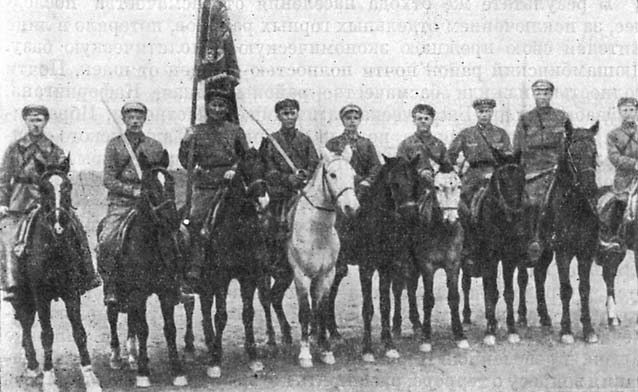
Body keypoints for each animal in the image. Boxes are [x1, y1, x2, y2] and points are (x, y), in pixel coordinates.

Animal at [4, 156, 102, 392]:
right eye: (44, 188)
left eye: (67, 186)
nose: (59, 223)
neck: (55, 246)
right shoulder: (41, 296)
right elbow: (46, 334)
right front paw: (49, 379)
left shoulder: (71, 293)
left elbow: (79, 332)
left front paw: (90, 377)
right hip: (22, 297)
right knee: (26, 324)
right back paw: (32, 365)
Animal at [181, 142, 272, 378]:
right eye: (244, 169)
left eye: (264, 167)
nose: (262, 198)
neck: (238, 227)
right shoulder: (221, 278)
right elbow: (221, 315)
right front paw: (215, 361)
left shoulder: (249, 277)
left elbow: (248, 313)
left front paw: (253, 356)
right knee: (192, 307)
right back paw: (191, 347)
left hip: (207, 283)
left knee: (204, 307)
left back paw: (210, 341)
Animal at [288, 145, 360, 368]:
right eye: (332, 174)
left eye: (353, 174)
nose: (352, 208)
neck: (316, 232)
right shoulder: (301, 275)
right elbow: (305, 311)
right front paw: (304, 354)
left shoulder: (327, 274)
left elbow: (321, 308)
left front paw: (325, 349)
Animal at [524, 120, 604, 344]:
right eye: (573, 154)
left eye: (594, 152)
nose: (591, 189)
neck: (575, 207)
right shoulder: (563, 252)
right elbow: (566, 288)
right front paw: (566, 330)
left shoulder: (586, 252)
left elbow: (584, 288)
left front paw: (588, 329)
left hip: (544, 251)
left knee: (539, 275)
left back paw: (544, 317)